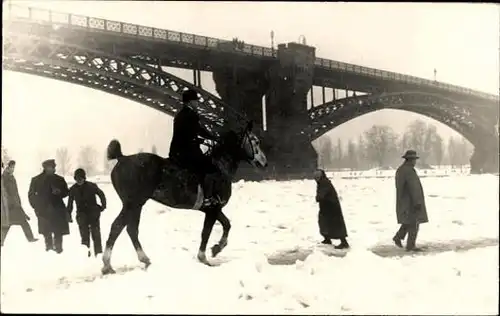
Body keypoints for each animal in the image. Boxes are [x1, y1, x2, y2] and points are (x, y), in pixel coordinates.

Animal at [99, 122, 268, 276]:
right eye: (256, 141)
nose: (264, 163)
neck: (220, 168)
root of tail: (122, 158)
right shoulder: (212, 210)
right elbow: (206, 232)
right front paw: (204, 258)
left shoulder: (214, 210)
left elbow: (227, 224)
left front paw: (216, 248)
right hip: (133, 204)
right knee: (119, 227)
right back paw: (110, 265)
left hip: (135, 205)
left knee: (128, 229)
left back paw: (138, 260)